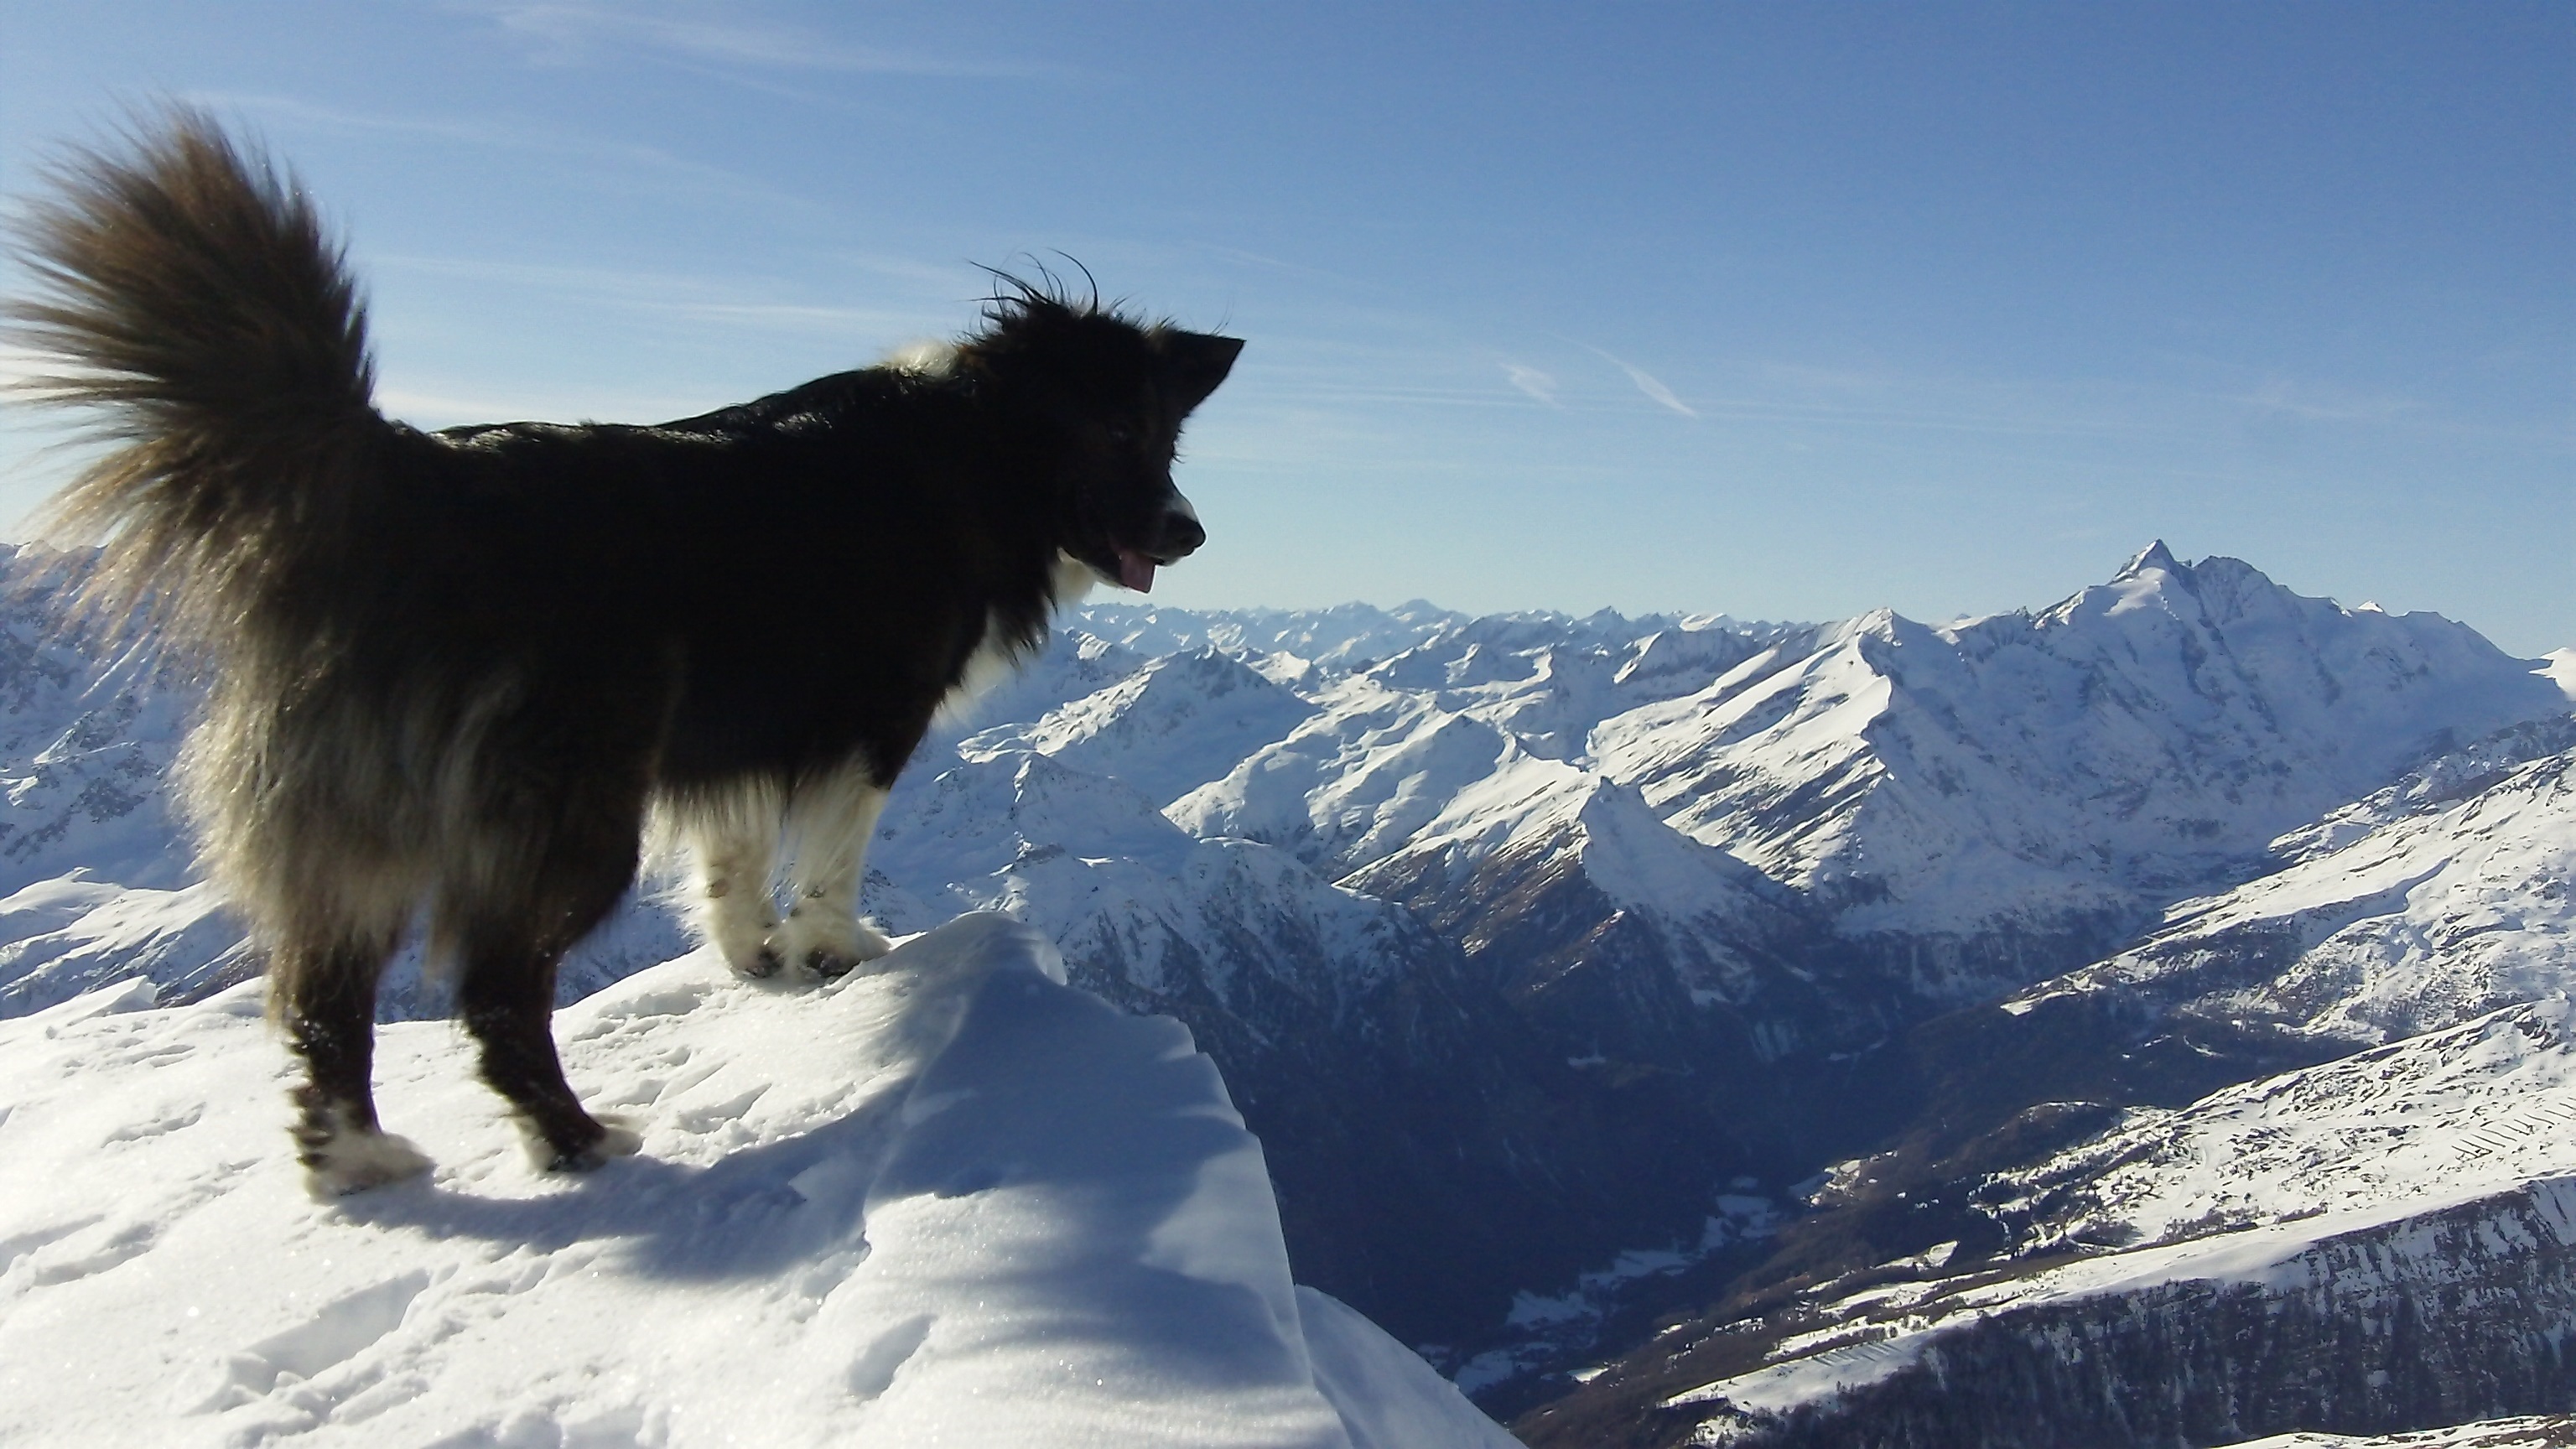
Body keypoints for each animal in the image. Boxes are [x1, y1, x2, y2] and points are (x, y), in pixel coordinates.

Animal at [5, 112, 1241, 1191]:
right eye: (1119, 431)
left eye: (1169, 438)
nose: (1191, 532)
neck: (979, 448)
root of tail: (401, 483)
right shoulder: (871, 714)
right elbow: (834, 852)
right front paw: (837, 949)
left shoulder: (740, 732)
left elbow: (734, 857)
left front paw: (757, 958)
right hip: (568, 813)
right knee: (496, 992)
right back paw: (575, 1141)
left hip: (357, 819)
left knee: (324, 992)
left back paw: (357, 1159)